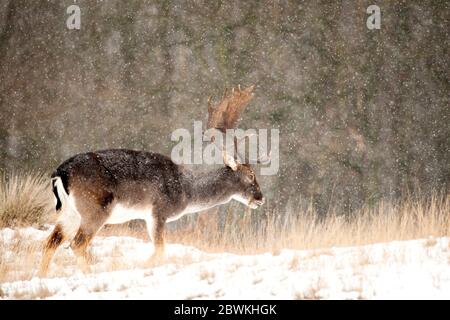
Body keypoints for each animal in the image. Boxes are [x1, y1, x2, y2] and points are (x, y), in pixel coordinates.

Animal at [38, 85, 266, 278]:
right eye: (251, 175)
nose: (261, 198)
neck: (187, 191)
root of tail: (60, 172)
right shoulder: (159, 211)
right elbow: (161, 250)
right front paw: (141, 266)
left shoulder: (149, 216)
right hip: (94, 208)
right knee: (77, 244)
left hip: (70, 212)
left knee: (50, 242)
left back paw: (41, 277)